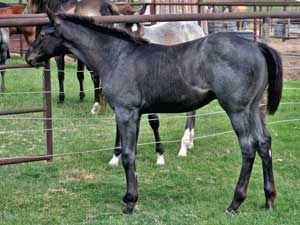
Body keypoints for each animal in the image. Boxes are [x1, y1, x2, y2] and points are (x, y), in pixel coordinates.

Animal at [25, 11, 282, 214]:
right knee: (264, 142)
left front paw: (130, 202)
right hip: (253, 108)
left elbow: (128, 155)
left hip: (237, 110)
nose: (28, 57)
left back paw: (235, 203)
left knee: (248, 147)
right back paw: (269, 200)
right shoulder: (135, 114)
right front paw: (130, 195)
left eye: (44, 34)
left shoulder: (127, 112)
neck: (116, 56)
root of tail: (256, 45)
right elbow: (132, 152)